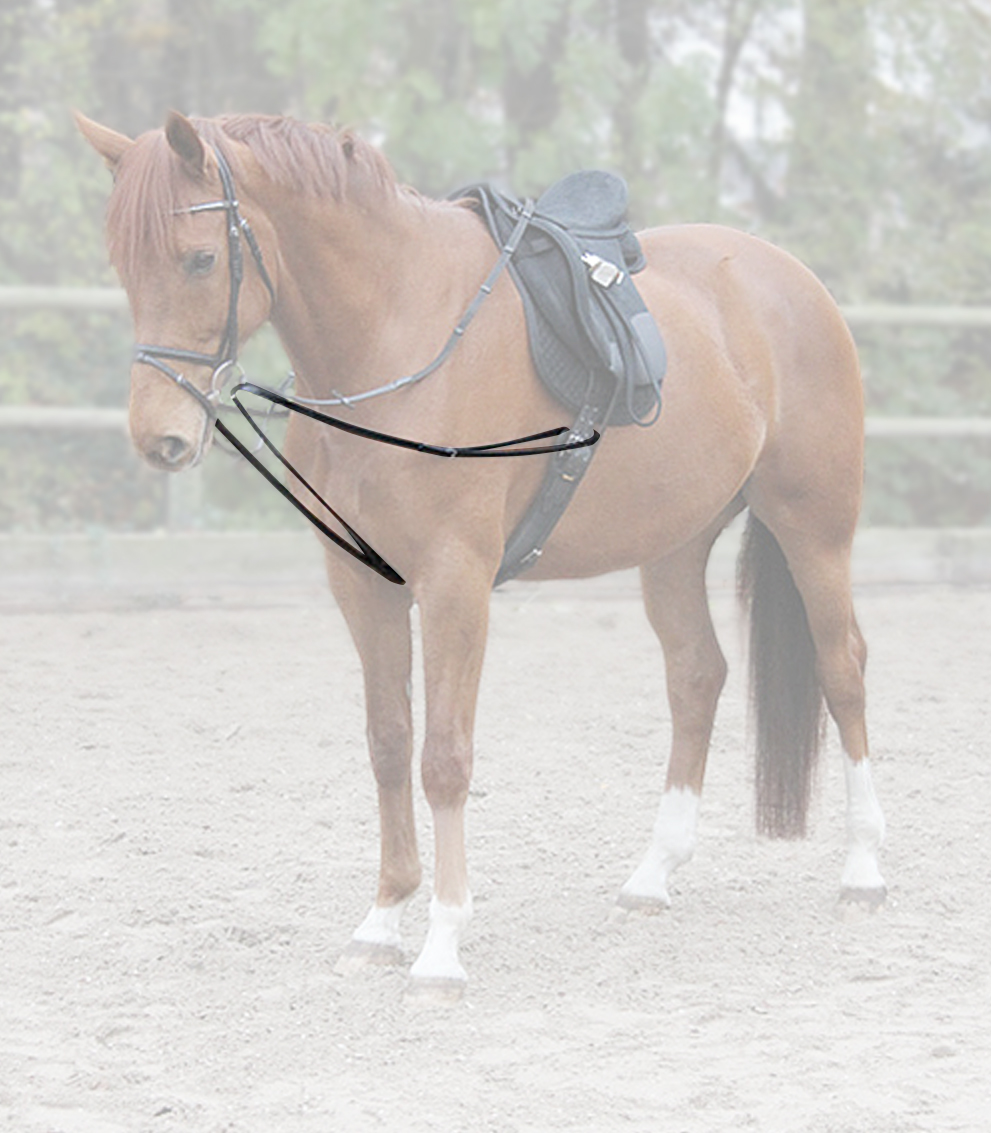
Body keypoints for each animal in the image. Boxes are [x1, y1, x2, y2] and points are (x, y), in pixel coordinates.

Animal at [76, 109, 887, 1001]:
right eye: (123, 264)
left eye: (200, 259)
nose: (159, 438)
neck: (395, 339)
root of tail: (790, 278)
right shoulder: (362, 585)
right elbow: (388, 742)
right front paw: (381, 921)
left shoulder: (453, 582)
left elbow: (443, 758)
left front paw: (440, 947)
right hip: (675, 545)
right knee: (696, 677)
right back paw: (652, 874)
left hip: (812, 526)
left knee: (842, 668)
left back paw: (862, 871)